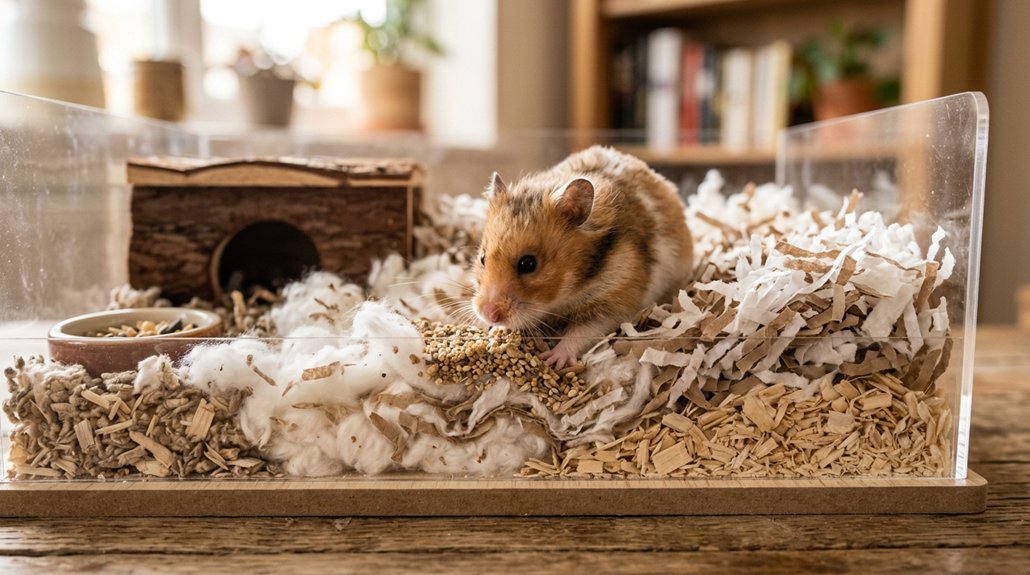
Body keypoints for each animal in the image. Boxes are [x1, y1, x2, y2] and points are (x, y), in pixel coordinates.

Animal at [472, 145, 693, 370]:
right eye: (482, 258)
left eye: (528, 264)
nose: (488, 314)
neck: (570, 290)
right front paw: (493, 331)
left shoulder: (615, 300)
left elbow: (581, 332)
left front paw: (553, 360)